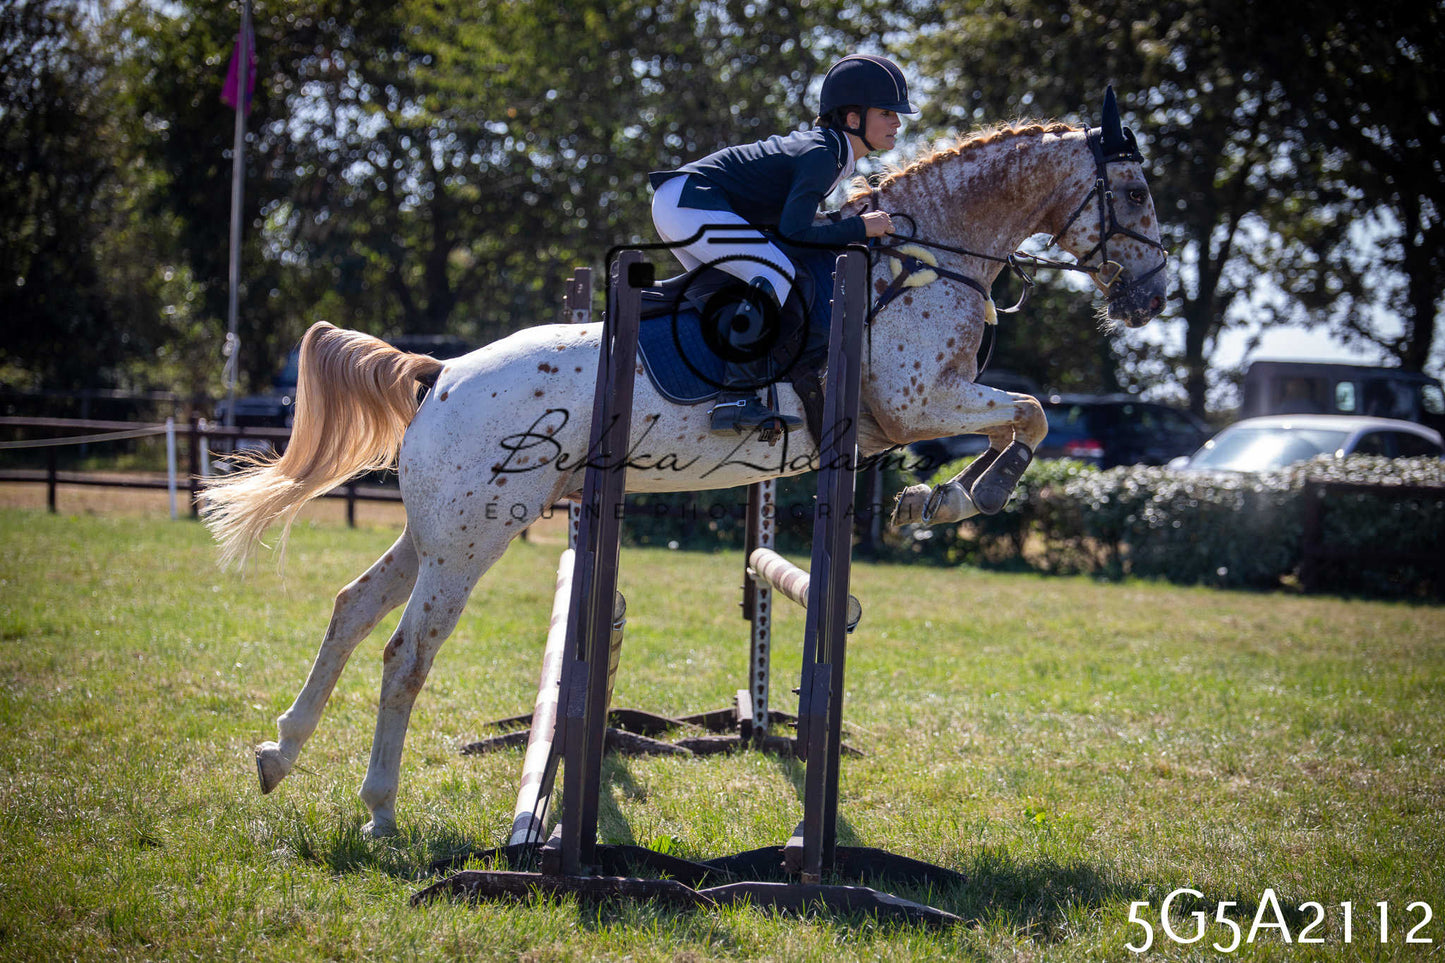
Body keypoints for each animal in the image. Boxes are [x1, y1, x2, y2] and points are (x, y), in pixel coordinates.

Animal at [201, 91, 1168, 837]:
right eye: (1131, 188)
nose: (1152, 295)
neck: (928, 256)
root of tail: (438, 373)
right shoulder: (917, 401)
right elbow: (1030, 414)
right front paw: (948, 500)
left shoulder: (923, 409)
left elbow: (1022, 417)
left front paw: (931, 501)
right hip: (475, 535)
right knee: (405, 651)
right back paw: (379, 810)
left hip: (438, 529)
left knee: (351, 607)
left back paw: (278, 753)